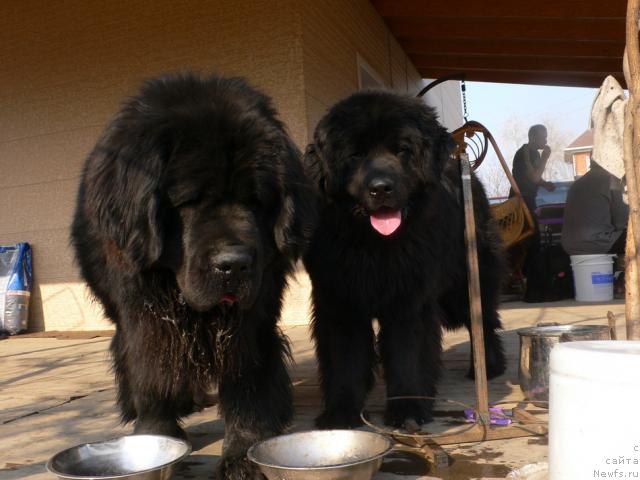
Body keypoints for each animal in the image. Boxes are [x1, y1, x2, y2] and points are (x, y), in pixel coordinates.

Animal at [72, 73, 316, 478]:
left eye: (255, 201)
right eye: (189, 201)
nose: (234, 264)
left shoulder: (254, 317)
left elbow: (247, 378)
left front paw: (244, 451)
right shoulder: (142, 313)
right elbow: (150, 370)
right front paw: (155, 435)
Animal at [302, 90, 508, 432]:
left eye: (402, 150)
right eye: (355, 155)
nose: (381, 188)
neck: (374, 246)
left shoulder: (409, 299)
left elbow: (406, 354)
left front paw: (408, 409)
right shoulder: (339, 299)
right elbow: (345, 358)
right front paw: (341, 412)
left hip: (463, 284)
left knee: (484, 322)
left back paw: (488, 367)